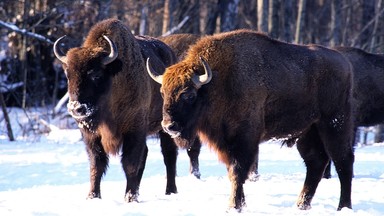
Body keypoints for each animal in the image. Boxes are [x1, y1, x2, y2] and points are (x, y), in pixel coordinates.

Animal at [53, 18, 190, 201]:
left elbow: (130, 163)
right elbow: (96, 165)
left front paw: (130, 198)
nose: (76, 108)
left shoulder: (134, 130)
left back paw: (170, 191)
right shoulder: (91, 136)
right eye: (68, 75)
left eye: (96, 74)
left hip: (166, 127)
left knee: (169, 156)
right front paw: (93, 196)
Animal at [147, 28, 354, 211]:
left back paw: (343, 206)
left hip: (334, 125)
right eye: (163, 92)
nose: (169, 126)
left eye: (189, 94)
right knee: (316, 163)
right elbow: (233, 171)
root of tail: (345, 64)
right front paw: (241, 203)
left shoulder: (245, 139)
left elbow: (237, 172)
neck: (219, 82)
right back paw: (301, 205)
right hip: (307, 131)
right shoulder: (228, 143)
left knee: (343, 162)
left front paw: (234, 206)